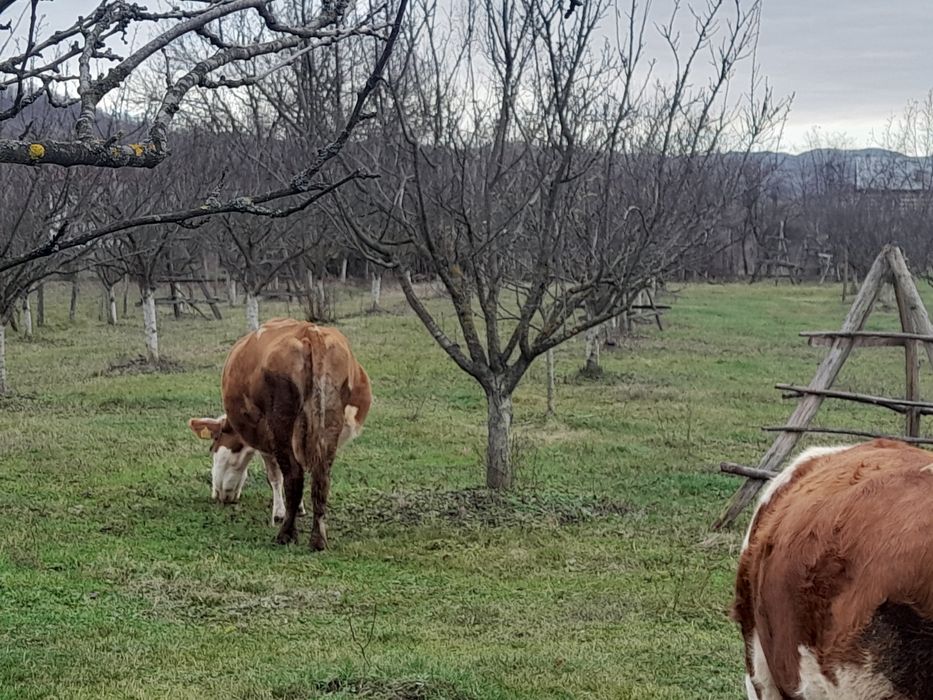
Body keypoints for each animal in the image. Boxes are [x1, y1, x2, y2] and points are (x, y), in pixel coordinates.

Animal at [188, 318, 371, 550]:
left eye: (213, 447)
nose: (218, 495)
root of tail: (310, 333)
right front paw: (299, 508)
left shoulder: (266, 440)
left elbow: (275, 476)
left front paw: (279, 513)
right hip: (329, 426)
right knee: (321, 478)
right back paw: (318, 539)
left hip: (281, 427)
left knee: (293, 476)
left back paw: (286, 534)